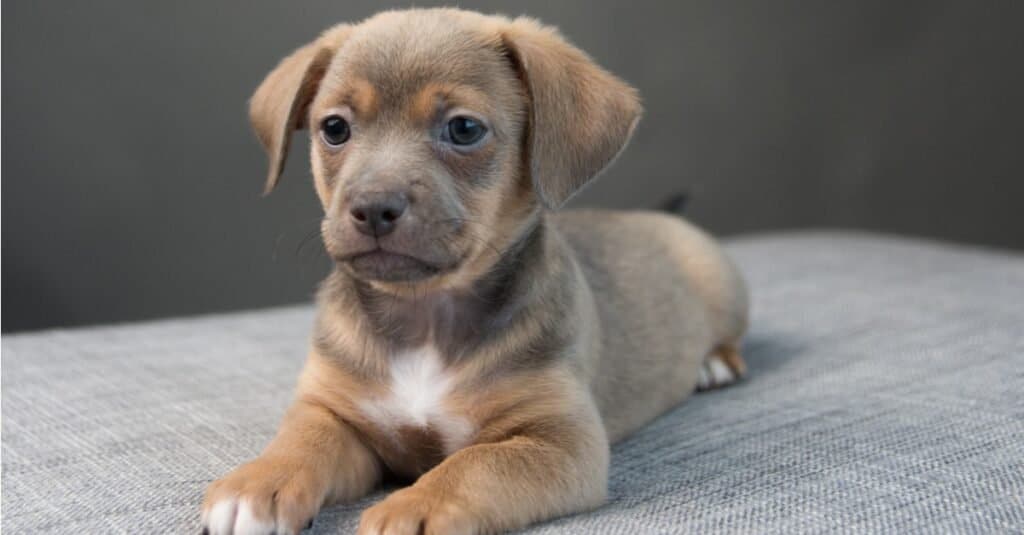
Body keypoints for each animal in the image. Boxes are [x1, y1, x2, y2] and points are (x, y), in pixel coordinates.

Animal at [201, 8, 745, 532]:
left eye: (464, 129)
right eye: (334, 128)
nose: (373, 208)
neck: (425, 316)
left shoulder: (559, 440)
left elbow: (476, 465)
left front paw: (414, 506)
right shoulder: (336, 412)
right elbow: (302, 440)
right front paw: (257, 483)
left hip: (721, 283)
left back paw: (714, 363)